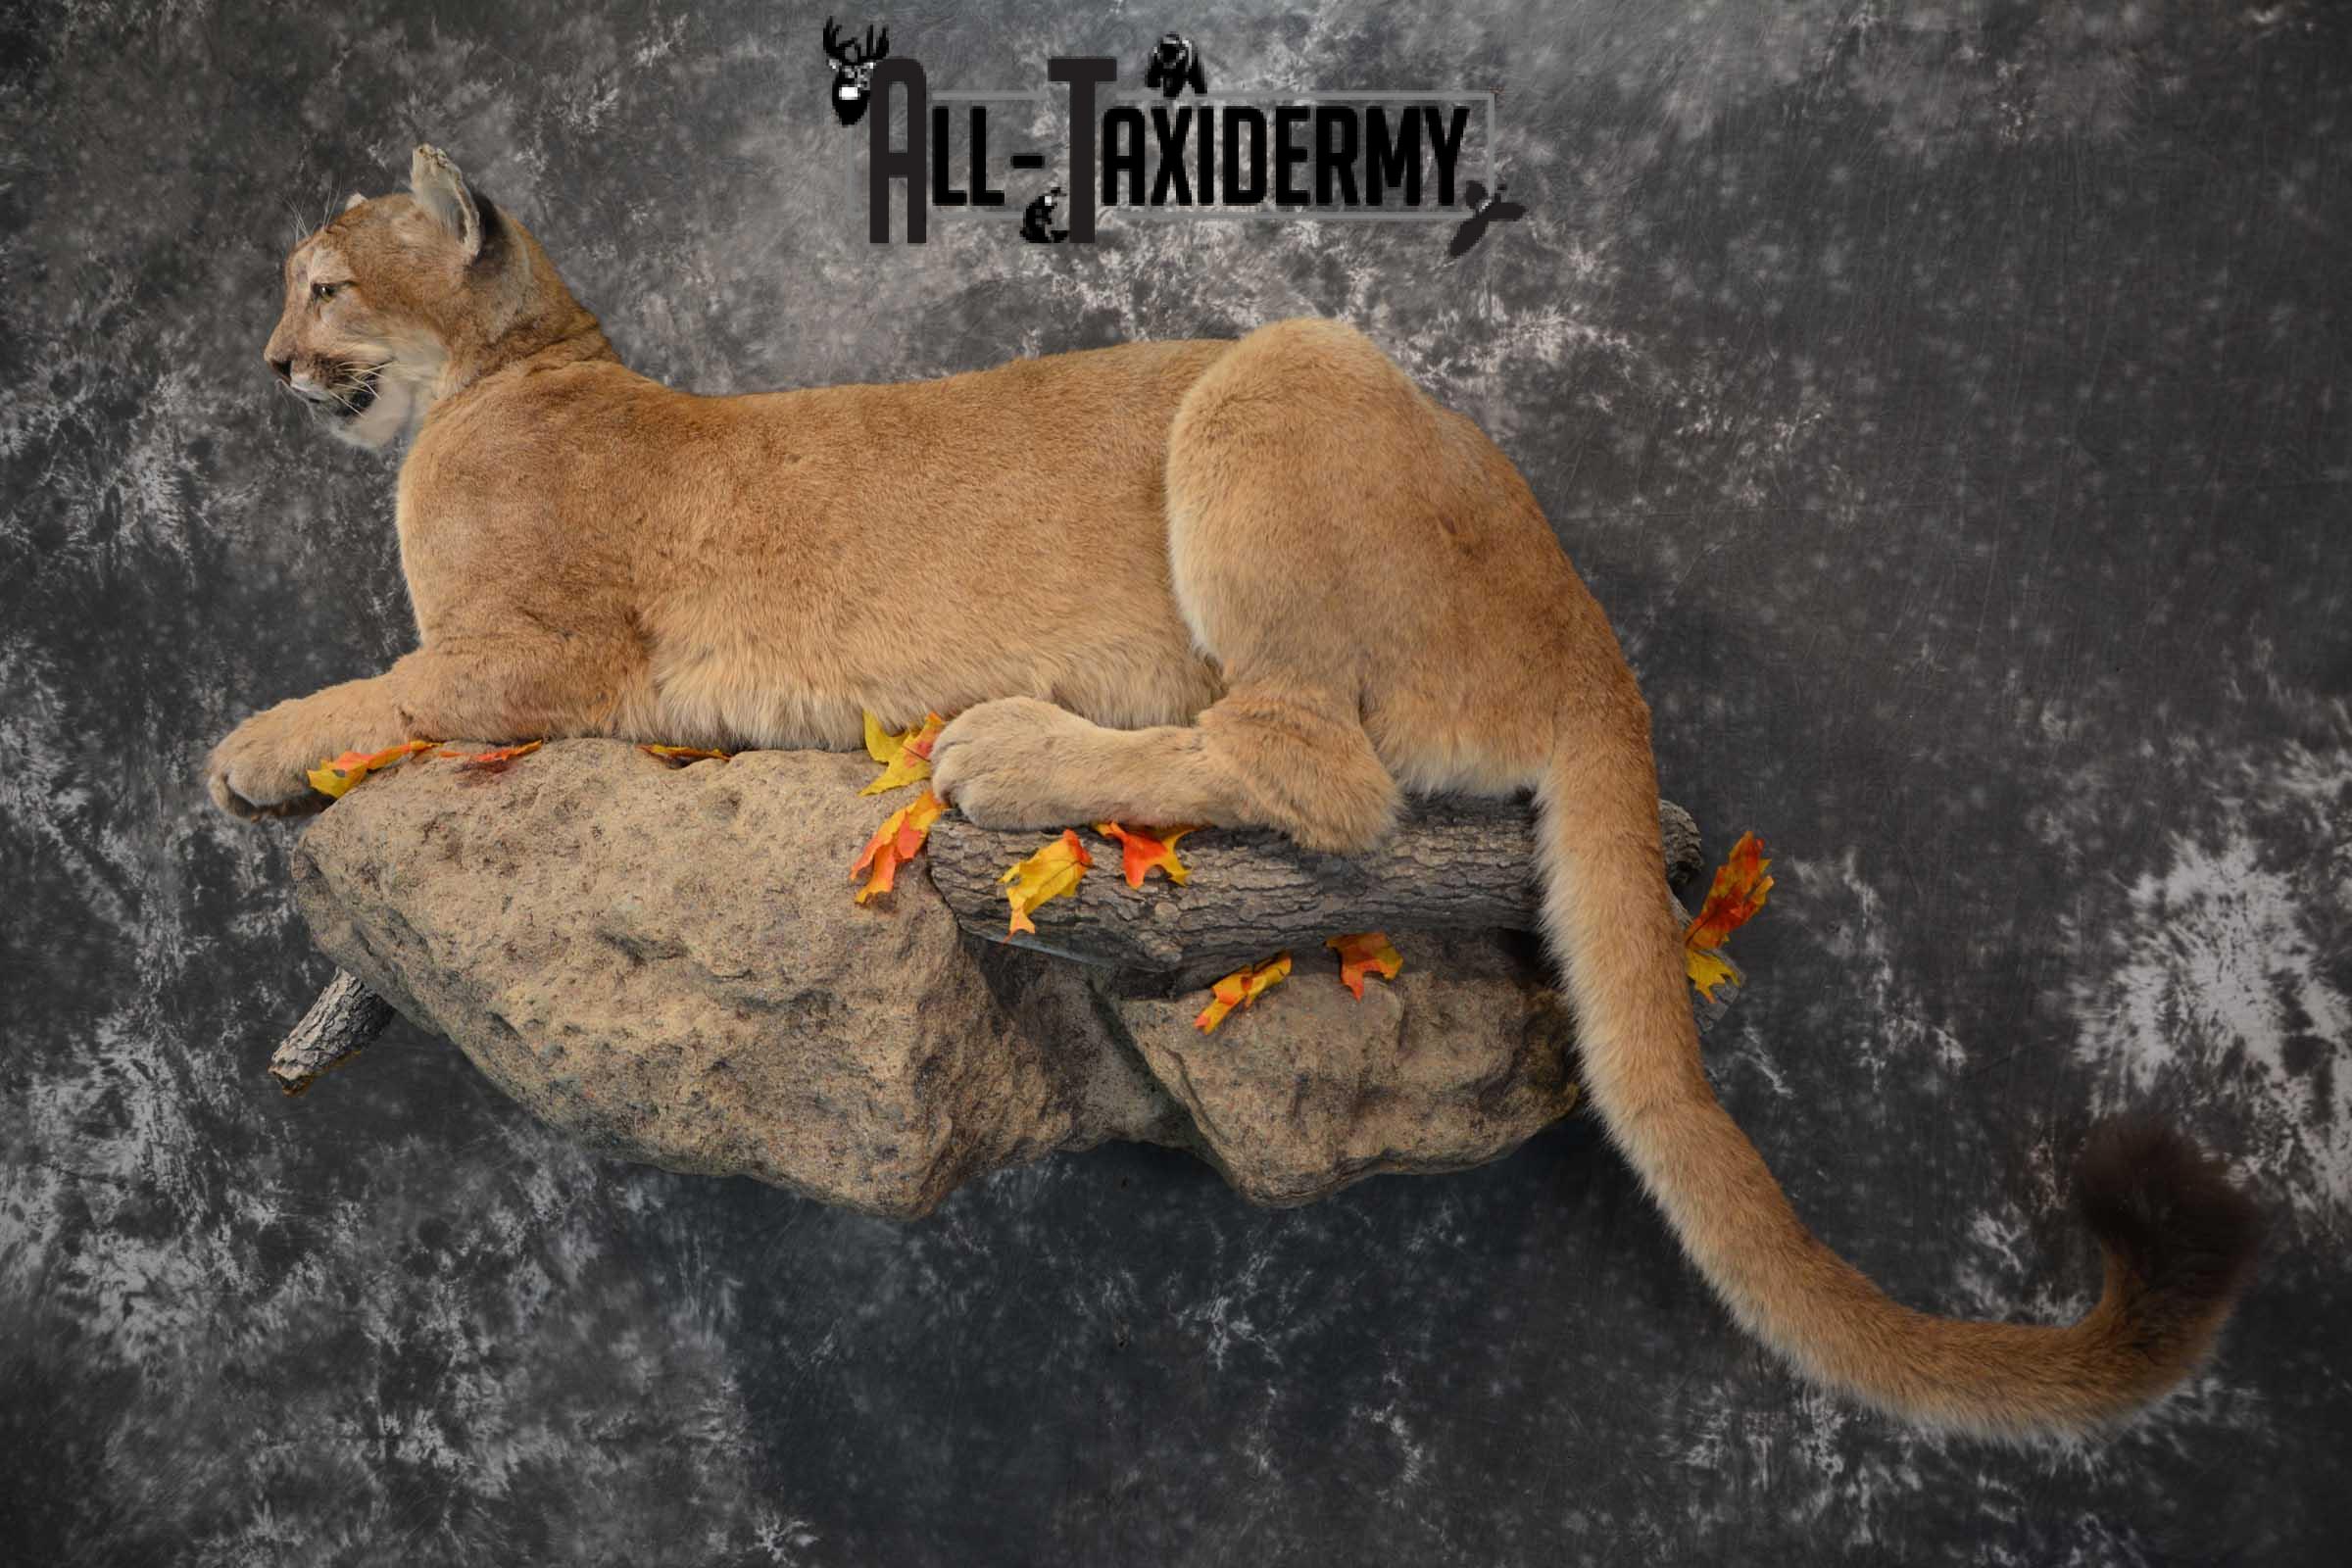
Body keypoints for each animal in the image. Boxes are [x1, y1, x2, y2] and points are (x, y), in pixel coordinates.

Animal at [209, 145, 2260, 1440]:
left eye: (322, 280)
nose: (269, 361)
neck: (512, 371)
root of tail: (1583, 608)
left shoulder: (543, 655)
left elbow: (374, 690)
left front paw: (236, 752)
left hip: (1275, 367)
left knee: (1316, 765)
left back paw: (1007, 747)